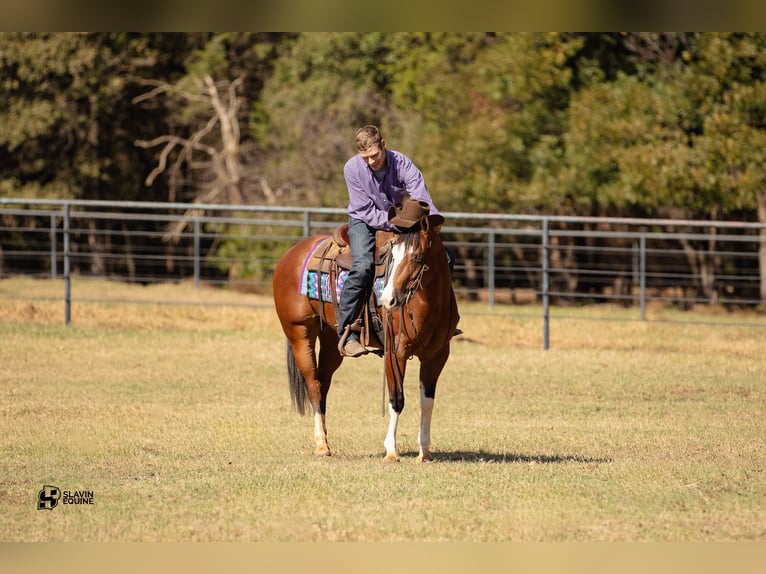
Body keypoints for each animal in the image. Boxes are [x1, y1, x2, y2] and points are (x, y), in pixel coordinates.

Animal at [272, 212, 460, 464]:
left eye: (419, 256)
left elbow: (427, 402)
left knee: (323, 385)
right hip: (299, 333)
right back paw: (321, 445)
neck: (427, 303)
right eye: (392, 256)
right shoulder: (395, 353)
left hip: (332, 341)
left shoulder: (437, 356)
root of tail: (291, 254)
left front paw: (424, 452)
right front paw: (391, 451)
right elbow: (396, 400)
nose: (389, 299)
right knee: (312, 384)